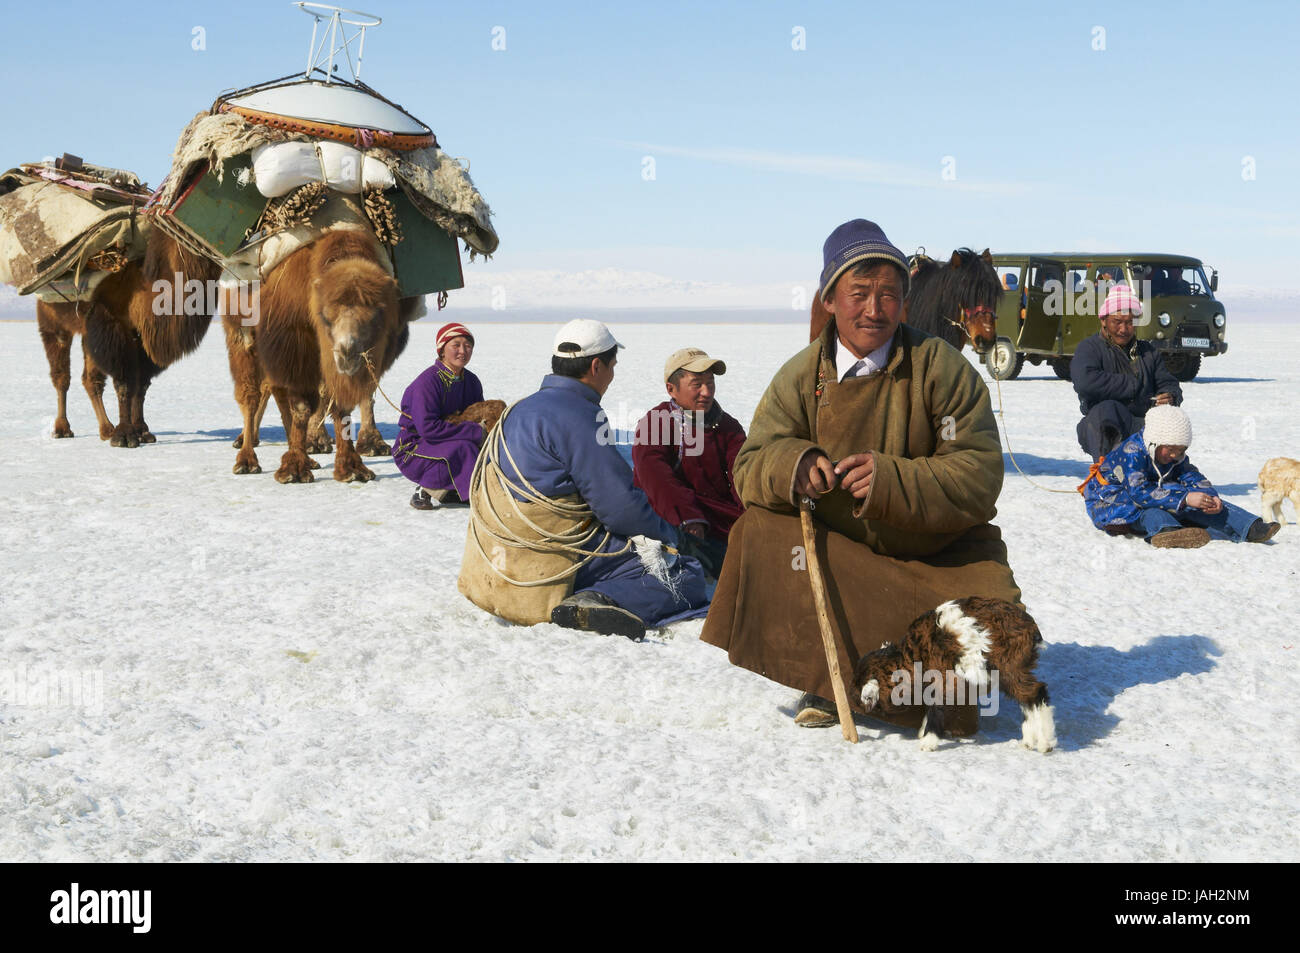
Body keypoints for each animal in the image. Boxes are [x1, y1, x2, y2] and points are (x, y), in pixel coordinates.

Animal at [852, 595, 1055, 748]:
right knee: (1027, 699)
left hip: (1008, 665)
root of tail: (1032, 630)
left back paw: (1045, 742)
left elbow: (937, 706)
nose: (854, 700)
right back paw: (1029, 741)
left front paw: (927, 741)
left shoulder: (944, 678)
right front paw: (923, 732)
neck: (913, 656)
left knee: (1036, 692)